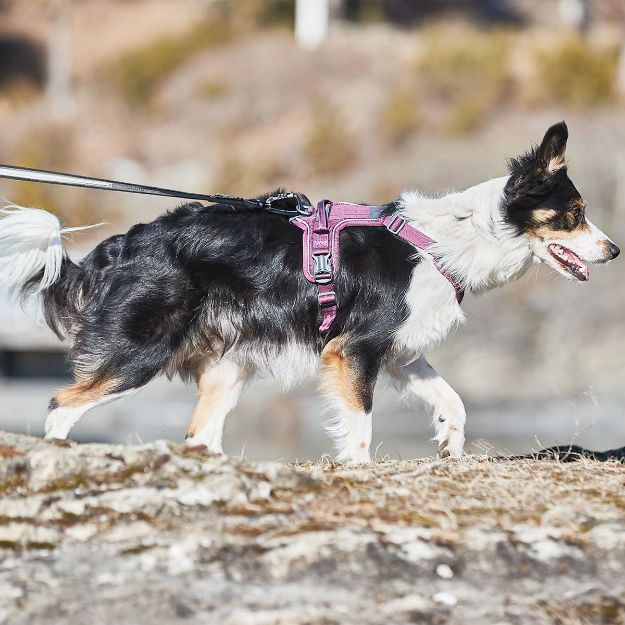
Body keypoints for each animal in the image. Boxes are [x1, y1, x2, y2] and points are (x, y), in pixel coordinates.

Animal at [0, 122, 616, 464]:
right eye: (575, 215)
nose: (613, 251)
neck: (454, 240)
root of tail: (122, 245)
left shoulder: (398, 351)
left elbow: (454, 401)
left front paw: (450, 447)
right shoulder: (354, 350)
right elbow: (361, 425)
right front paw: (361, 472)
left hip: (230, 366)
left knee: (198, 436)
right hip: (139, 353)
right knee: (60, 407)